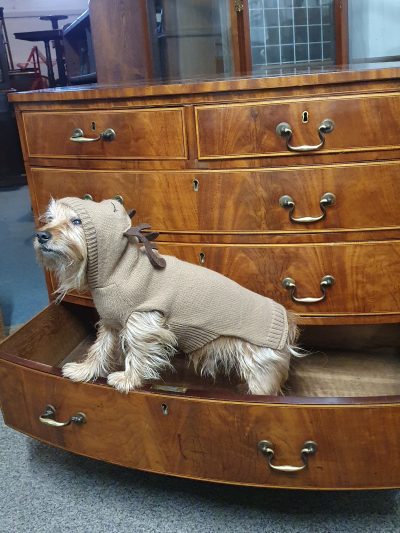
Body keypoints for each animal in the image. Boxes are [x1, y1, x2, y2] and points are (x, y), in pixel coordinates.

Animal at [36, 197, 302, 392]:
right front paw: (85, 371)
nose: (41, 235)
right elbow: (99, 349)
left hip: (261, 373)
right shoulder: (111, 323)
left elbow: (137, 353)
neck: (120, 269)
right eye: (50, 219)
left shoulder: (143, 324)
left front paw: (128, 379)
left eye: (77, 221)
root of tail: (287, 322)